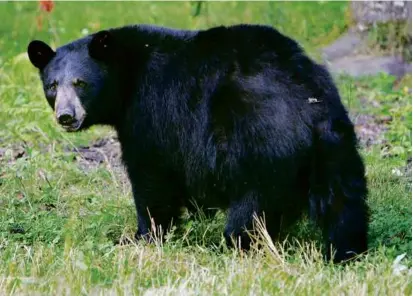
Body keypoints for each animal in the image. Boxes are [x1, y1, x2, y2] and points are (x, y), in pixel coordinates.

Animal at [27, 24, 366, 262]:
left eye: (81, 83)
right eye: (52, 85)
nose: (66, 116)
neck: (127, 76)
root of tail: (306, 103)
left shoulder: (152, 113)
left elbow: (151, 177)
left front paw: (142, 236)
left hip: (262, 147)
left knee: (253, 210)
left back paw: (240, 245)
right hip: (336, 145)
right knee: (344, 203)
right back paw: (346, 251)